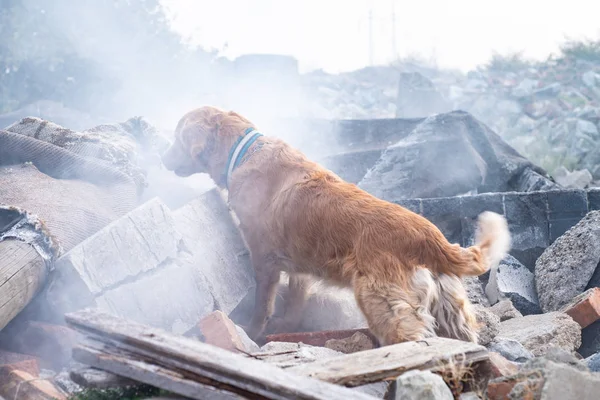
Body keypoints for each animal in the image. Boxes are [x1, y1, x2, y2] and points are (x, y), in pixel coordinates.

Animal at [163, 106, 510, 346]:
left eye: (177, 137)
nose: (162, 157)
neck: (245, 150)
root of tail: (430, 237)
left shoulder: (265, 260)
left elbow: (263, 306)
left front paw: (252, 331)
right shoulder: (299, 267)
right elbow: (294, 302)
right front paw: (285, 326)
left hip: (382, 302)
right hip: (452, 314)